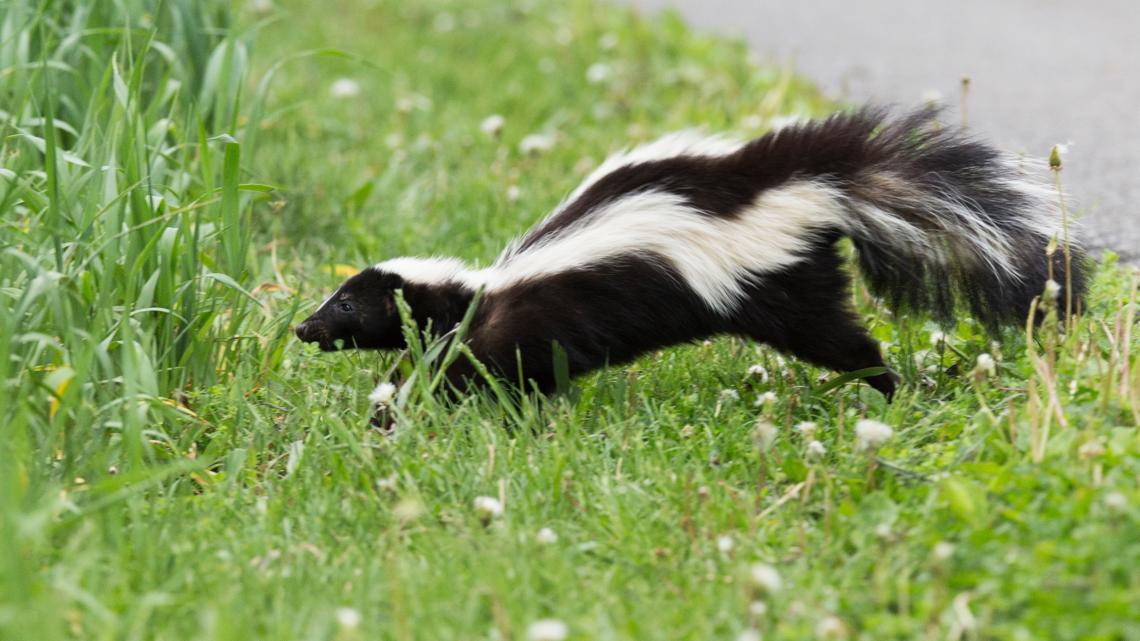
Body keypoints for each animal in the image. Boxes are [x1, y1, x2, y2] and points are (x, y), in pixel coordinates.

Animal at [294, 105, 1085, 396]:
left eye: (345, 304)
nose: (301, 327)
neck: (476, 290)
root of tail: (802, 187)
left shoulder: (525, 322)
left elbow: (506, 369)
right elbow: (438, 364)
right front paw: (397, 401)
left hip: (778, 290)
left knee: (844, 341)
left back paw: (885, 387)